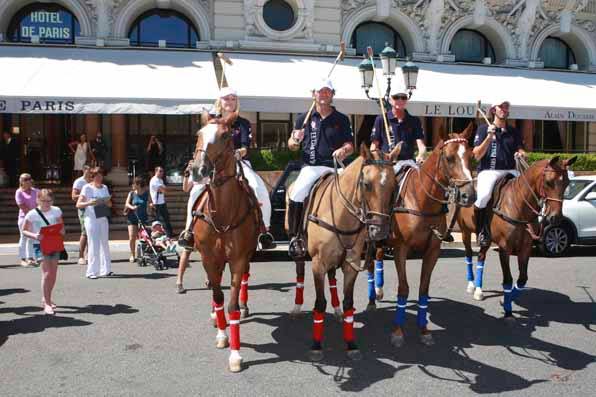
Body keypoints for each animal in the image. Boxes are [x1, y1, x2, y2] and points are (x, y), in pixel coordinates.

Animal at [189, 111, 258, 372]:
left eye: (226, 135)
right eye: (198, 134)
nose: (197, 169)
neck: (223, 214)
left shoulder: (238, 258)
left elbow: (232, 306)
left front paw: (235, 355)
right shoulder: (208, 258)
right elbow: (218, 296)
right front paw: (221, 334)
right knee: (215, 283)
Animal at [292, 143, 402, 362]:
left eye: (394, 185)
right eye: (366, 184)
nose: (379, 230)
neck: (341, 214)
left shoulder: (351, 264)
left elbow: (349, 302)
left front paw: (351, 344)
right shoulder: (318, 263)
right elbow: (319, 303)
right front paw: (316, 346)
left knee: (332, 277)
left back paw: (336, 311)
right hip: (302, 253)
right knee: (300, 273)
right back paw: (297, 307)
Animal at [370, 123, 478, 346]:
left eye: (471, 156)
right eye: (449, 158)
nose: (469, 195)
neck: (421, 200)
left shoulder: (433, 250)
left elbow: (423, 289)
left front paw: (424, 330)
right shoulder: (401, 249)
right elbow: (403, 288)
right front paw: (398, 331)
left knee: (378, 256)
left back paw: (379, 289)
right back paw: (373, 297)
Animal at [456, 155, 576, 322]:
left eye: (567, 183)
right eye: (548, 182)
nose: (555, 218)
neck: (519, 206)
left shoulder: (525, 248)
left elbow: (522, 279)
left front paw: (505, 299)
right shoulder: (504, 248)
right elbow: (508, 279)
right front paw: (508, 311)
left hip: (487, 238)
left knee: (481, 257)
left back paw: (479, 290)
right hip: (465, 232)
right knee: (468, 255)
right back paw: (471, 285)